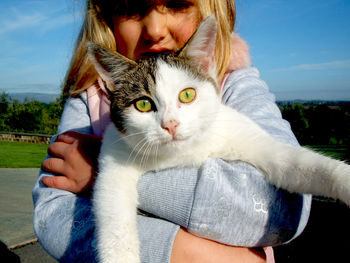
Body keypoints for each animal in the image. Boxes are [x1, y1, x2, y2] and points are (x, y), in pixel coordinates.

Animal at [87, 16, 350, 263]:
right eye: (142, 104)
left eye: (187, 94)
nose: (171, 124)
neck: (181, 156)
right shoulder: (114, 161)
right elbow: (114, 219)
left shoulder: (243, 135)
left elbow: (293, 161)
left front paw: (343, 179)